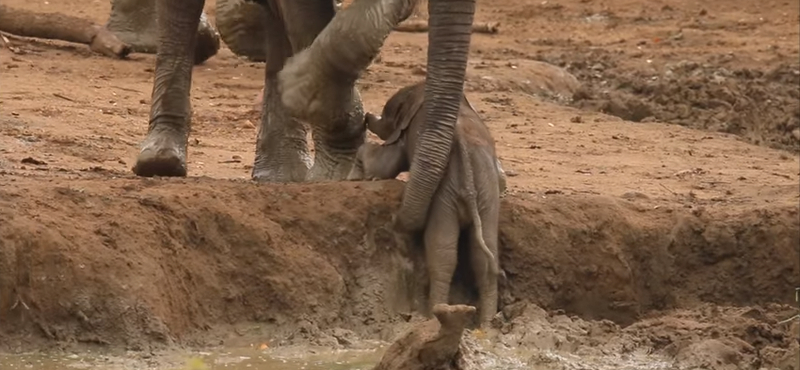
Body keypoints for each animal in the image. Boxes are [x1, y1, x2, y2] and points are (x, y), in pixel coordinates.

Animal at [346, 81, 504, 324]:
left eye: (388, 113)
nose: (366, 117)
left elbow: (388, 162)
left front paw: (356, 177)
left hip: (445, 198)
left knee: (442, 252)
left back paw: (435, 314)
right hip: (487, 195)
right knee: (485, 254)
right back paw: (487, 324)